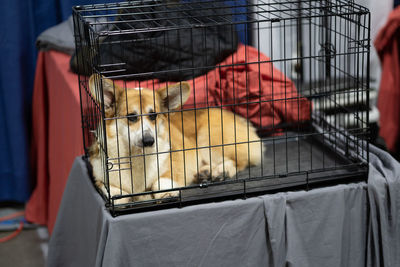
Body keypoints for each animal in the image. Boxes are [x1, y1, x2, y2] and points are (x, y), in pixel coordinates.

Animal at [88, 74, 262, 204]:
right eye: (131, 117)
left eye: (153, 115)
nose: (149, 141)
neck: (137, 157)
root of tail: (239, 118)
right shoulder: (101, 178)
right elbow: (114, 193)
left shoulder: (173, 169)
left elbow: (160, 182)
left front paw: (164, 194)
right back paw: (205, 172)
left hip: (207, 140)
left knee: (239, 161)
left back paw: (221, 171)